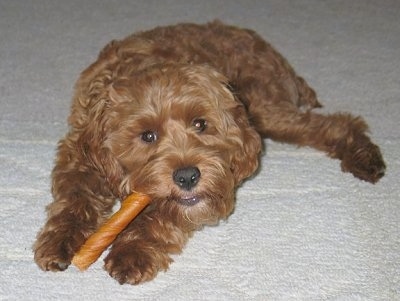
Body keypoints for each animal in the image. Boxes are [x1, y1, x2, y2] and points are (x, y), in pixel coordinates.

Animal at [33, 21, 384, 284]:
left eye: (200, 124)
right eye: (147, 135)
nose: (188, 176)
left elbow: (163, 213)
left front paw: (132, 251)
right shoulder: (77, 153)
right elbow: (74, 198)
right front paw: (59, 241)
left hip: (266, 111)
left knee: (337, 124)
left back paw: (365, 158)